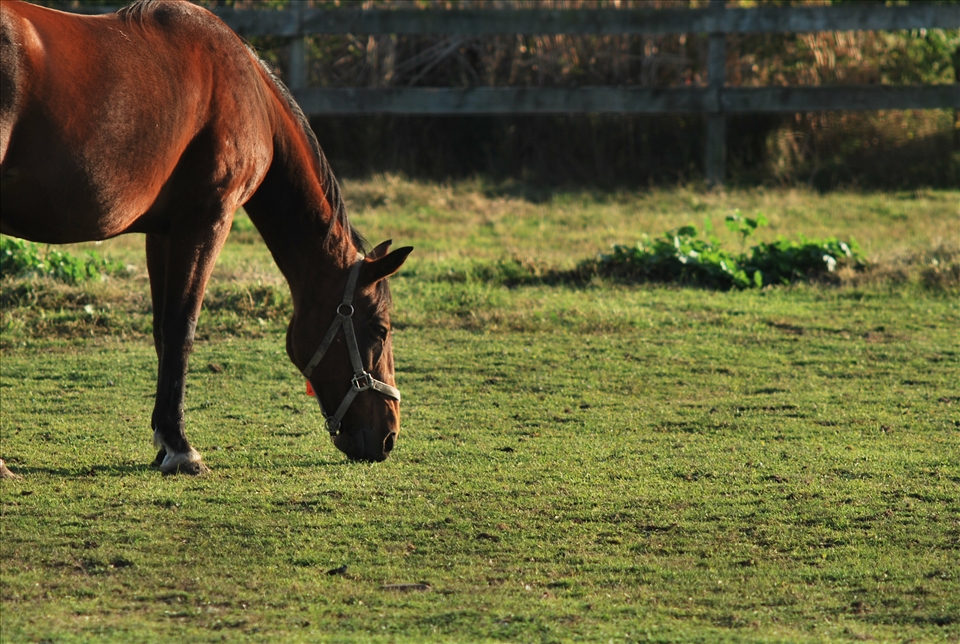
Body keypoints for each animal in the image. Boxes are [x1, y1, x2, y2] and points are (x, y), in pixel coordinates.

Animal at [0, 0, 412, 475]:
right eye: (380, 329)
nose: (388, 436)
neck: (250, 91)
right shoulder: (207, 220)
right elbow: (183, 328)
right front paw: (181, 447)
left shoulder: (163, 232)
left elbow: (162, 332)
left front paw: (164, 441)